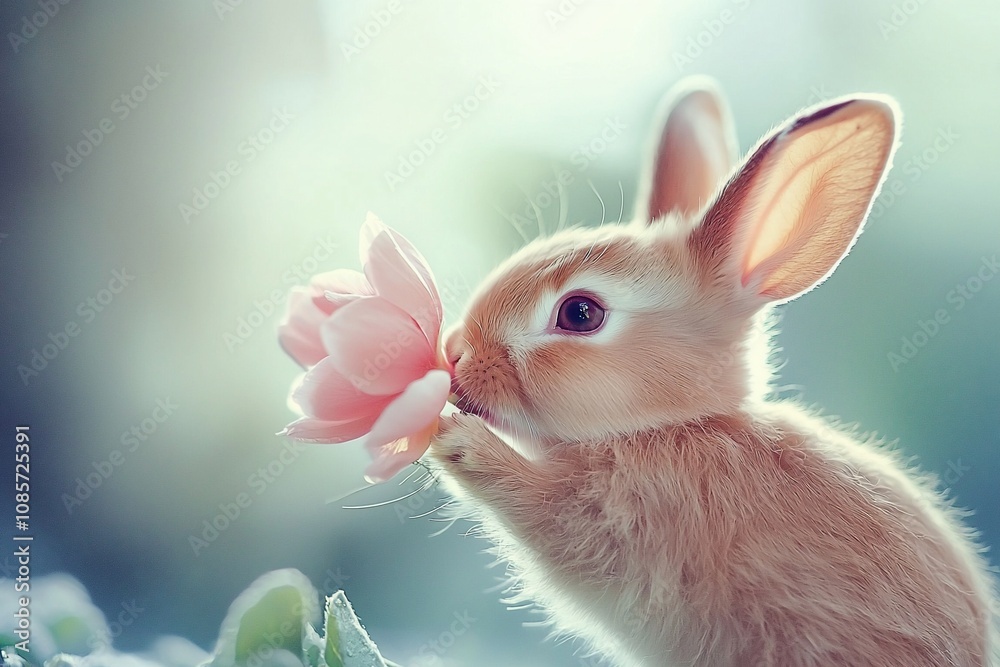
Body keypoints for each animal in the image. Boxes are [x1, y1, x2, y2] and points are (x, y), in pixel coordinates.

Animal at [426, 77, 998, 667]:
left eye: (580, 313)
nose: (457, 355)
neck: (675, 426)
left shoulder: (622, 518)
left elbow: (537, 504)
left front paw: (456, 437)